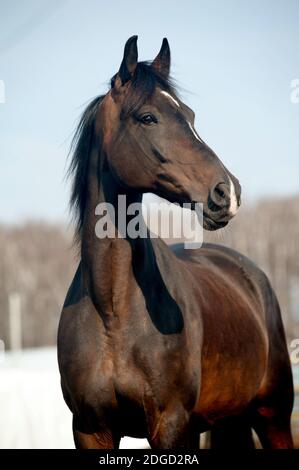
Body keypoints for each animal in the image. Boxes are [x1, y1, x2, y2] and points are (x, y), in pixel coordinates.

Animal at [57, 35, 294, 448]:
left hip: (273, 417)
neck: (111, 310)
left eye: (190, 116)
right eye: (148, 117)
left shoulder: (170, 424)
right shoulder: (90, 429)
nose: (227, 192)